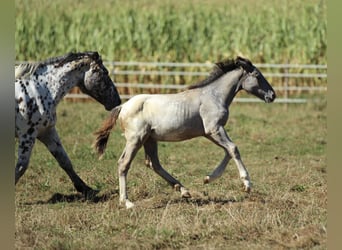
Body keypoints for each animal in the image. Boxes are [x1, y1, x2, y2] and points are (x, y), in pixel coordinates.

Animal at [15, 51, 121, 196]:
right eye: (105, 72)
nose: (117, 100)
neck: (39, 92)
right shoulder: (27, 135)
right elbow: (21, 167)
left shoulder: (46, 132)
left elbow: (64, 161)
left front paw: (86, 189)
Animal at [93, 56, 276, 207]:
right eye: (257, 75)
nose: (272, 95)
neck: (213, 96)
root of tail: (123, 106)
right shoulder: (214, 129)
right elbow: (233, 149)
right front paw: (247, 184)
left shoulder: (210, 133)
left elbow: (228, 151)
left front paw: (208, 178)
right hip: (136, 139)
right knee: (124, 163)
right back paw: (127, 202)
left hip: (149, 139)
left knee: (153, 164)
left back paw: (184, 190)